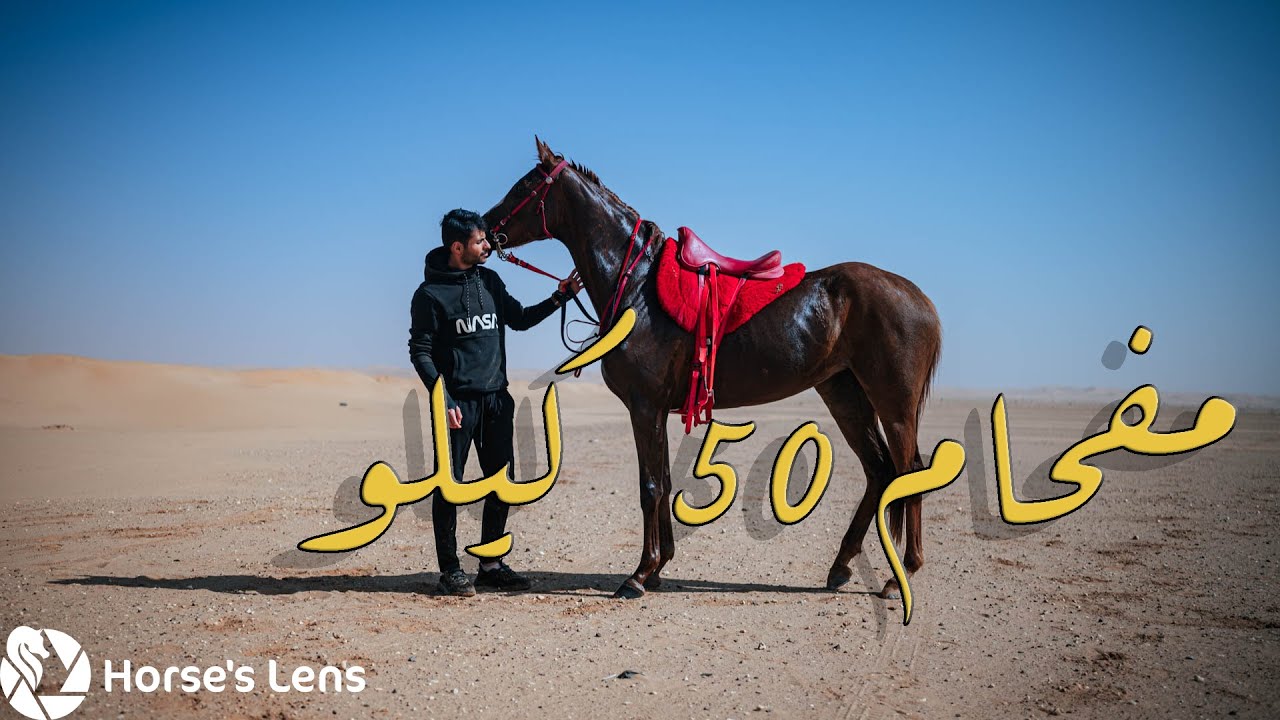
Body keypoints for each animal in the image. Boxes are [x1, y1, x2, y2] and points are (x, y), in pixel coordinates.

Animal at [482, 137, 942, 600]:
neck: (637, 286)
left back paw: (901, 573)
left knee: (909, 472)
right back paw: (842, 566)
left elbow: (650, 487)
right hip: (845, 395)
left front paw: (639, 574)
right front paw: (660, 566)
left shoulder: (643, 406)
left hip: (894, 406)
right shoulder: (656, 410)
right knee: (879, 471)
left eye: (525, 186)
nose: (484, 229)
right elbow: (665, 481)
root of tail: (917, 297)